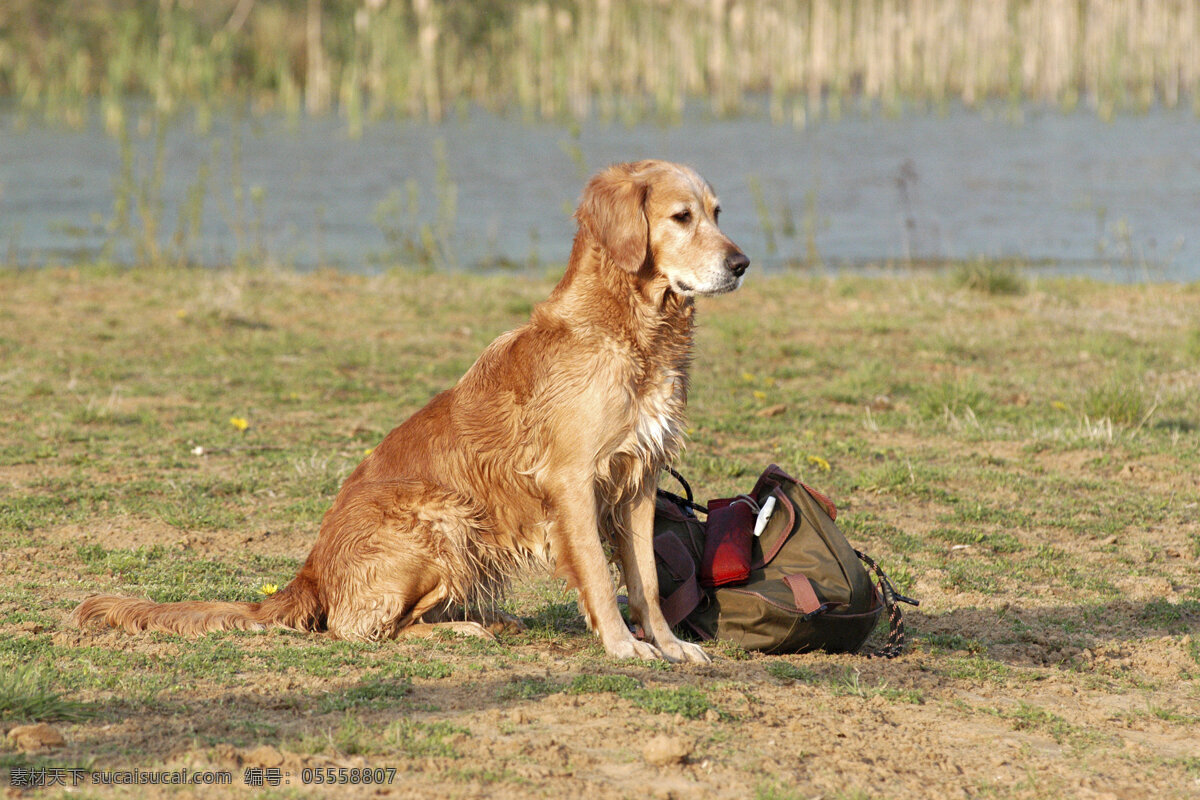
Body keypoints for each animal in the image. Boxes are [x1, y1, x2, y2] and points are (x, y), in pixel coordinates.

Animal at [68, 160, 748, 662]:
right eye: (681, 217)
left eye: (718, 213)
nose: (742, 264)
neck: (634, 331)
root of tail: (311, 573)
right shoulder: (572, 480)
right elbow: (603, 581)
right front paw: (623, 647)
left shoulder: (639, 478)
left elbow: (647, 581)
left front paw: (668, 645)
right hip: (442, 518)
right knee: (364, 630)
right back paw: (466, 628)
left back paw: (494, 619)